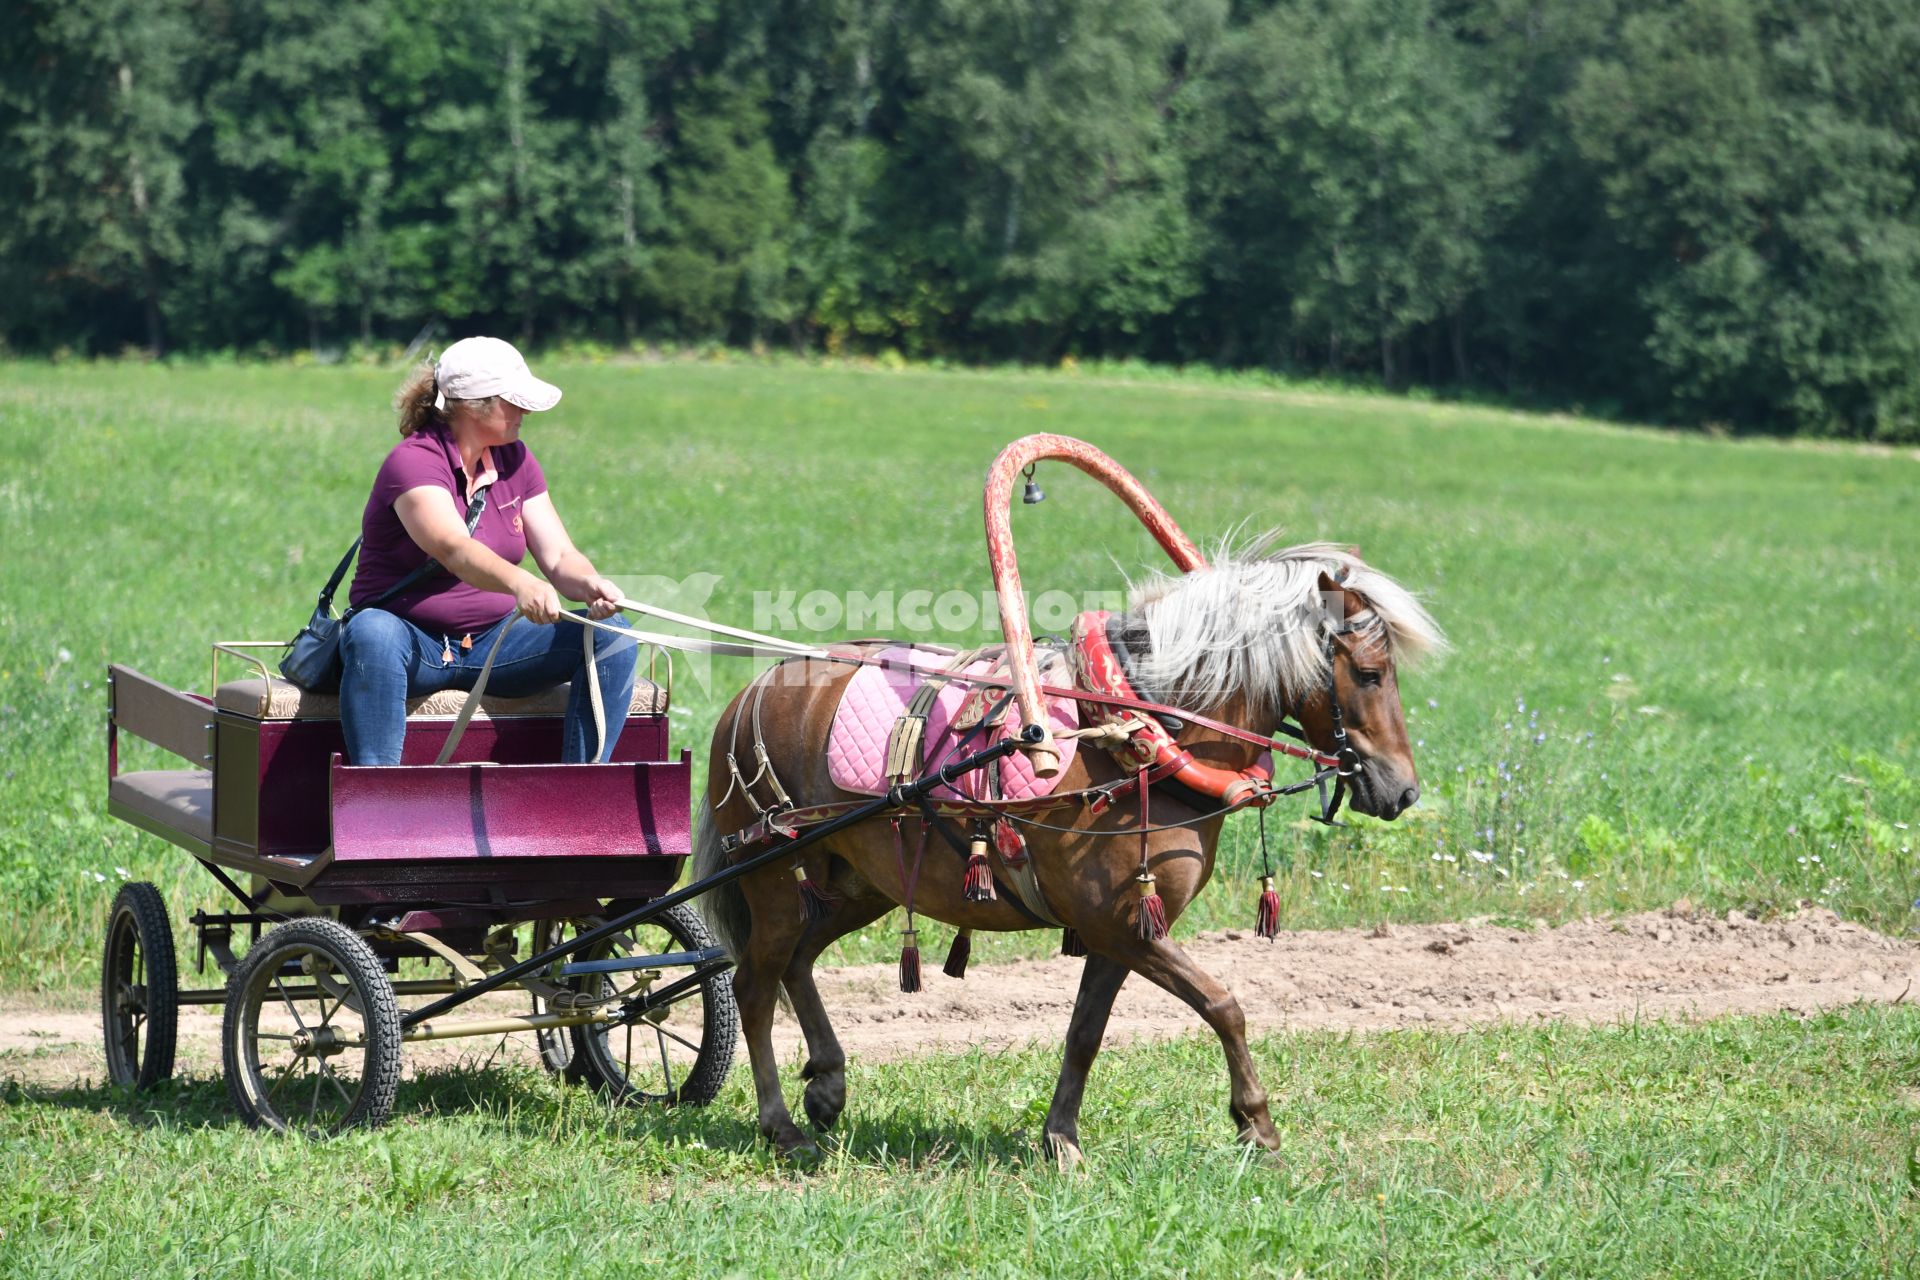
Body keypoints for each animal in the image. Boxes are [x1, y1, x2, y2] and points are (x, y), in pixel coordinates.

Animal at [691, 537, 1443, 1166]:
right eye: (1369, 674)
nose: (1403, 789)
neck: (1136, 736)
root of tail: (750, 692)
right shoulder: (1125, 927)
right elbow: (1223, 1004)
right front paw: (1256, 1123)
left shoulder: (1118, 932)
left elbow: (1085, 1032)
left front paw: (1061, 1141)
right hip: (775, 880)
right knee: (753, 985)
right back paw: (782, 1126)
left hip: (852, 883)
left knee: (797, 963)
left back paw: (827, 1084)